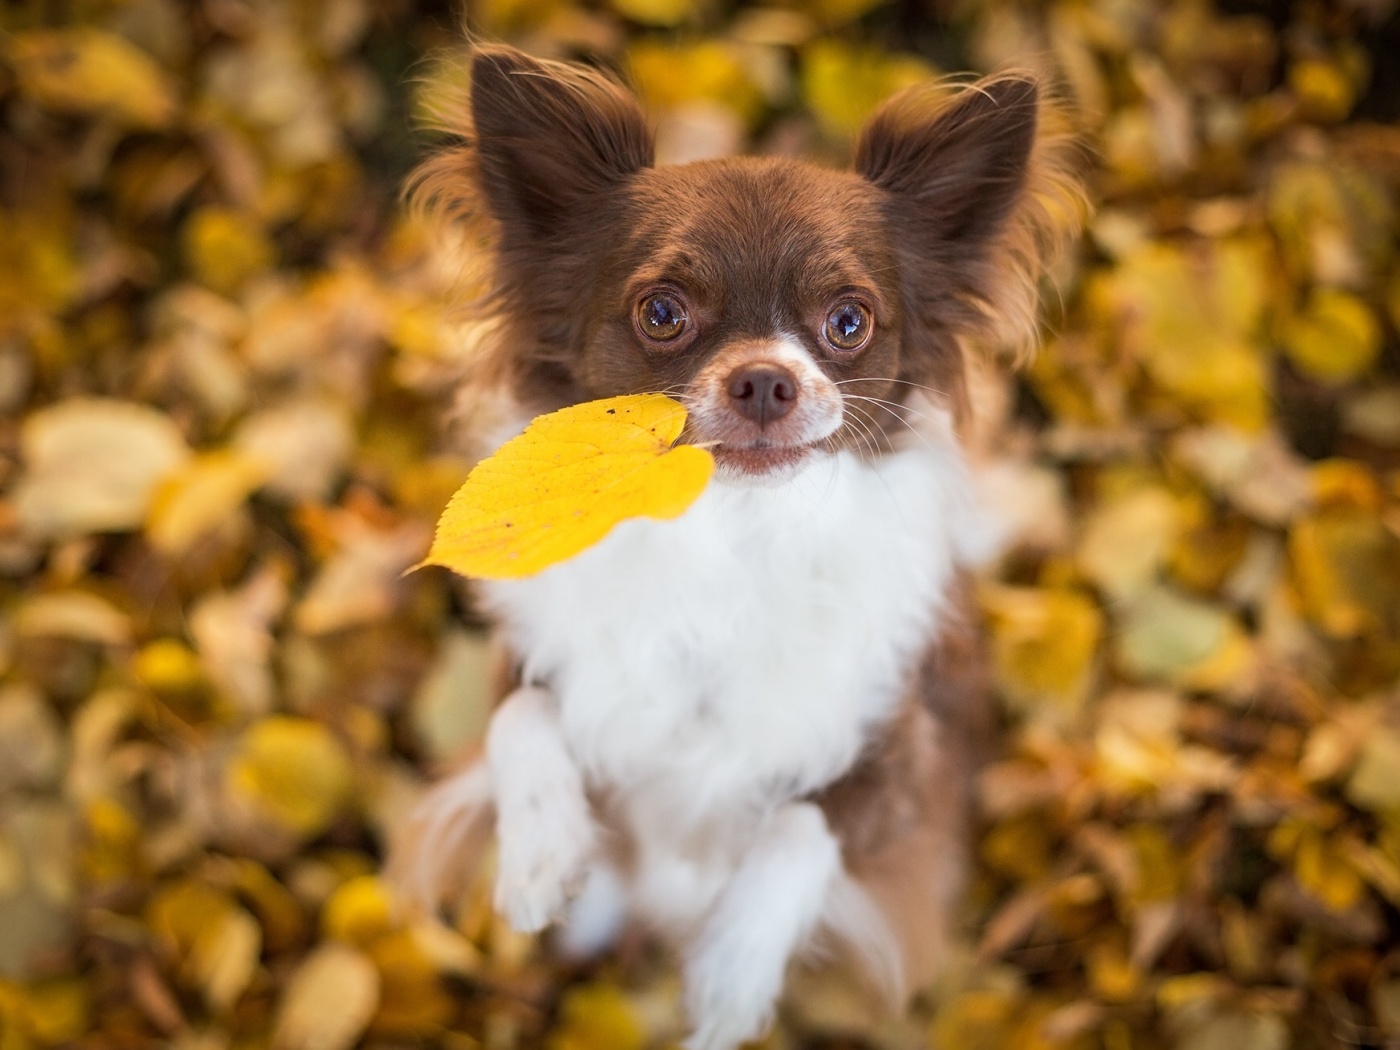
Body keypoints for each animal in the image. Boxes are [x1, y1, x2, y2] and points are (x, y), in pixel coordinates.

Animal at [394, 43, 1080, 1050]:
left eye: (849, 321)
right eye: (662, 313)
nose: (764, 378)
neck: (731, 536)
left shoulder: (902, 758)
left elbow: (804, 826)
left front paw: (729, 977)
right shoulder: (533, 659)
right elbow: (519, 716)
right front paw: (539, 856)